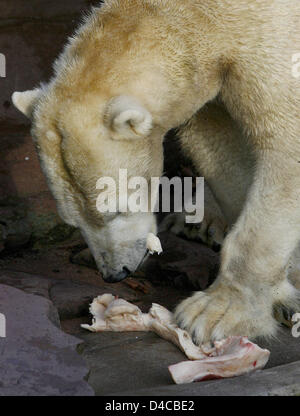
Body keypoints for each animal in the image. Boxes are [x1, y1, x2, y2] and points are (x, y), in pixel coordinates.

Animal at [11, 0, 300, 342]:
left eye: (116, 210)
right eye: (72, 221)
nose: (114, 274)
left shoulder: (274, 43)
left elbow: (286, 150)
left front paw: (213, 313)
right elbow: (221, 150)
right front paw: (283, 292)